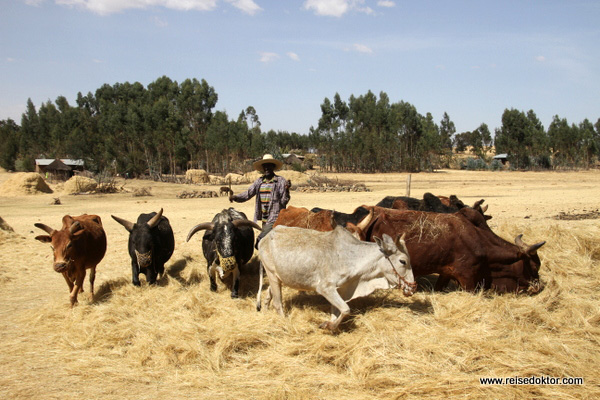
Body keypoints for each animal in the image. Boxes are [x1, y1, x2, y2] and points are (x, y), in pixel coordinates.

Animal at [255, 225, 414, 332]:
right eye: (403, 261)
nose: (413, 287)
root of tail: (265, 237)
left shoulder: (340, 289)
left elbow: (337, 311)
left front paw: (330, 324)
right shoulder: (326, 288)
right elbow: (346, 309)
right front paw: (329, 325)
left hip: (278, 277)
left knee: (268, 295)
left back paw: (265, 310)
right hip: (271, 274)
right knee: (278, 303)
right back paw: (284, 322)